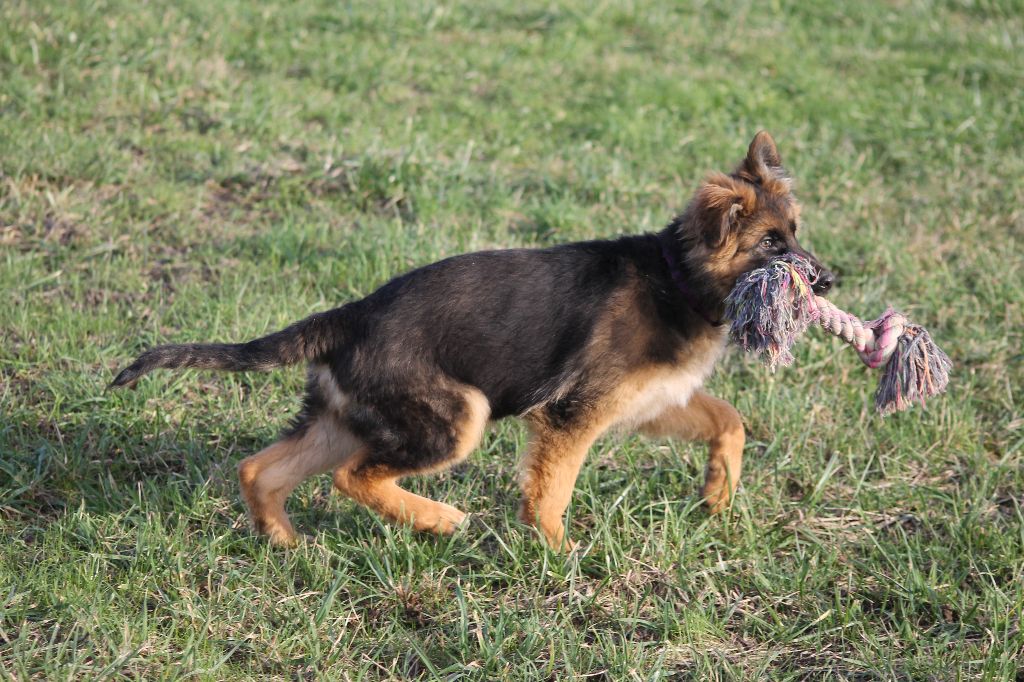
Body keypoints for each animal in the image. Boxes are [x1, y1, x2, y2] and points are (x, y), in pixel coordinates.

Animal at [111, 131, 833, 550]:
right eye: (773, 245)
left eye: (797, 232)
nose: (830, 280)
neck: (678, 277)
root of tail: (352, 314)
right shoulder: (574, 414)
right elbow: (553, 488)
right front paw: (554, 552)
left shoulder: (651, 401)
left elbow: (730, 421)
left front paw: (718, 497)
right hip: (454, 417)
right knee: (352, 476)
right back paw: (437, 519)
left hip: (350, 417)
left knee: (263, 469)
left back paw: (285, 542)